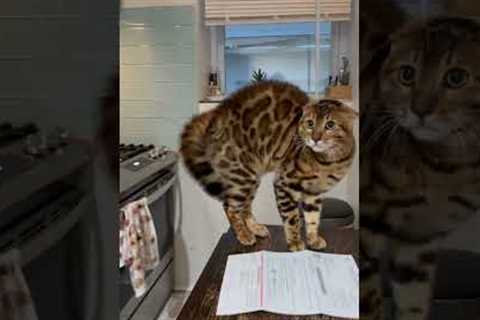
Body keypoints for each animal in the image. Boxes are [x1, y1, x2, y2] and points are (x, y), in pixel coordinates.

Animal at [180, 81, 356, 251]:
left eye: (330, 125)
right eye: (310, 124)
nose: (315, 138)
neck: (327, 162)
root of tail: (215, 114)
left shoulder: (314, 193)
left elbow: (313, 218)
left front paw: (312, 239)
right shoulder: (284, 184)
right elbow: (292, 218)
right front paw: (295, 242)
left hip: (251, 179)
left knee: (244, 206)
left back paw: (255, 228)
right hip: (242, 177)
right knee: (229, 206)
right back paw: (244, 235)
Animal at [360, 17, 480, 320]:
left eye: (456, 77)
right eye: (407, 74)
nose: (420, 110)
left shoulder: (419, 243)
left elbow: (413, 302)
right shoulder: (367, 230)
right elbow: (368, 304)